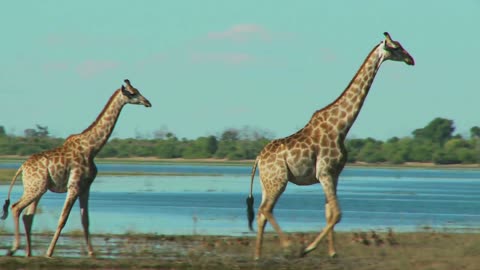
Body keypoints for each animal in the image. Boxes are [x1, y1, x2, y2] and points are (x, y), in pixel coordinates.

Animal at [0, 78, 151, 258]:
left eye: (138, 90)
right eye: (133, 93)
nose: (147, 102)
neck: (92, 148)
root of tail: (21, 168)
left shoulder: (85, 187)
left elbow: (85, 220)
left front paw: (92, 253)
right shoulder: (74, 186)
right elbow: (62, 219)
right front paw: (49, 253)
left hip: (37, 188)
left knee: (28, 216)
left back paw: (28, 253)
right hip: (35, 188)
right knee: (16, 208)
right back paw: (14, 249)